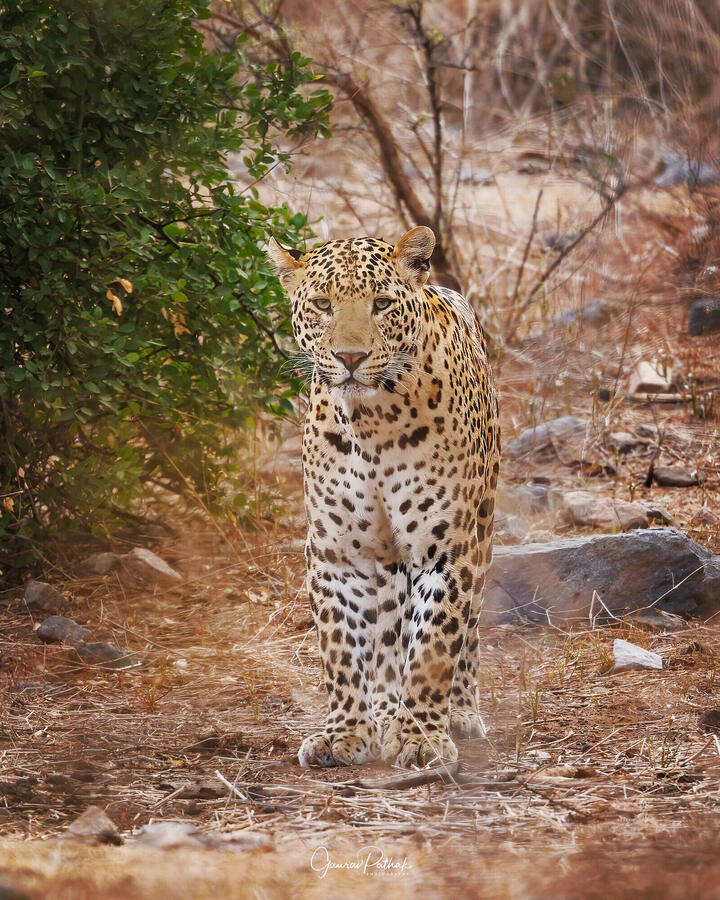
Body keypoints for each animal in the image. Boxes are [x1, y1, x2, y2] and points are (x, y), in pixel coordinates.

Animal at [268, 226, 499, 768]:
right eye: (323, 304)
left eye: (381, 304)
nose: (350, 358)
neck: (371, 421)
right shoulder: (335, 552)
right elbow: (340, 647)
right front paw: (345, 732)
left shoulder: (447, 547)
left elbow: (436, 642)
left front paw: (420, 736)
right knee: (391, 632)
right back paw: (383, 706)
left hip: (481, 529)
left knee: (468, 630)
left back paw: (460, 711)